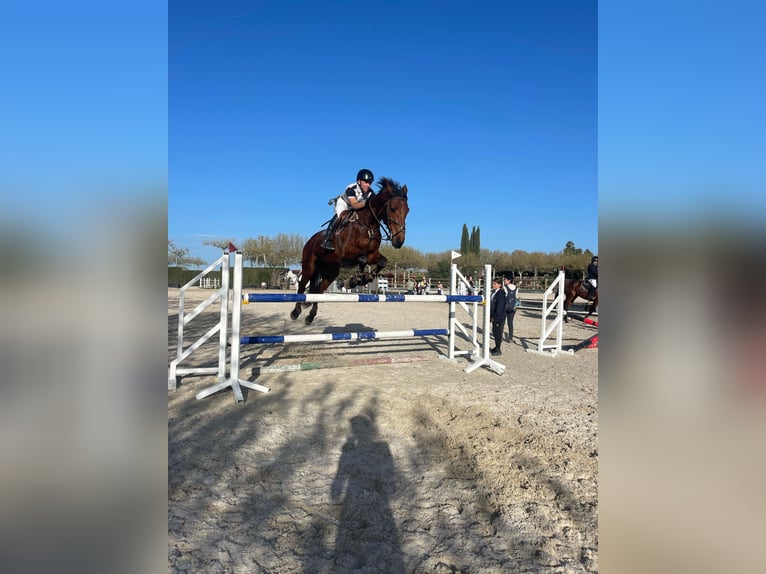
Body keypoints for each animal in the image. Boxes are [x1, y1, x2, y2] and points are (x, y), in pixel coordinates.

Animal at [290, 177, 409, 324]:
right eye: (392, 209)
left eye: (407, 210)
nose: (399, 241)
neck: (368, 225)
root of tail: (310, 240)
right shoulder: (346, 255)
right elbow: (362, 259)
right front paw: (356, 279)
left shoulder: (372, 254)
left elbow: (382, 261)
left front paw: (365, 277)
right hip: (309, 266)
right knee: (302, 285)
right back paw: (295, 312)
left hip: (331, 272)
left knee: (319, 290)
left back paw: (310, 316)